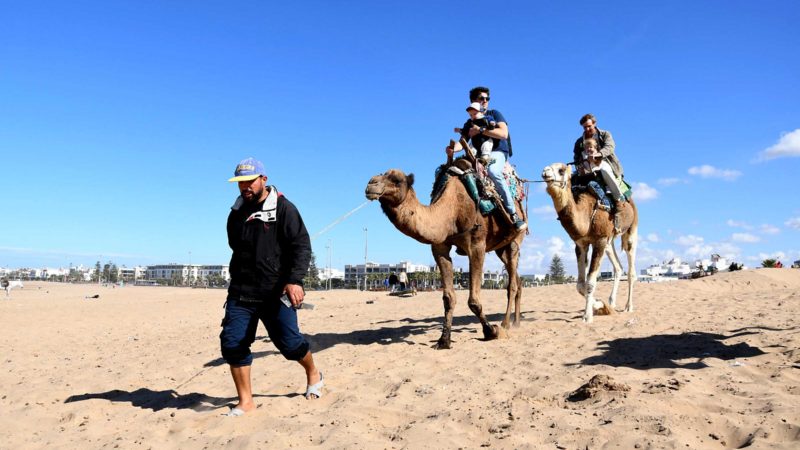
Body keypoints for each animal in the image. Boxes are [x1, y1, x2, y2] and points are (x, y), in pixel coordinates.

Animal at [366, 160, 528, 350]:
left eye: (397, 180)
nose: (371, 184)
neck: (452, 209)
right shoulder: (439, 247)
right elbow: (448, 297)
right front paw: (444, 340)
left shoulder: (477, 245)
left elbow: (473, 300)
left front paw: (491, 332)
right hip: (500, 248)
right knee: (517, 280)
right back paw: (516, 322)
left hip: (514, 241)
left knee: (512, 284)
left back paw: (505, 324)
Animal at [540, 163, 640, 322]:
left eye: (561, 170)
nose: (545, 172)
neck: (586, 217)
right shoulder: (581, 244)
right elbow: (581, 284)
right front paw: (600, 306)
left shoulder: (599, 241)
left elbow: (591, 282)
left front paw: (588, 316)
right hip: (609, 242)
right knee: (618, 267)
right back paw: (612, 304)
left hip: (631, 230)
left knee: (631, 269)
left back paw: (628, 307)